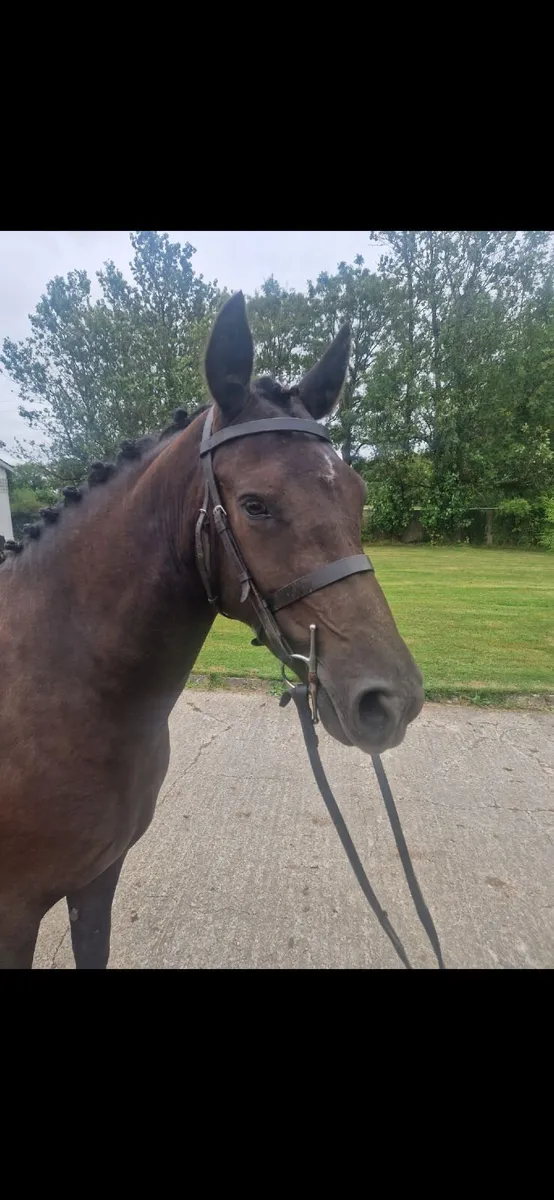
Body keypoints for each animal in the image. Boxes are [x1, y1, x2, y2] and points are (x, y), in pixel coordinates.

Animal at [0, 292, 424, 969]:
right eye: (255, 505)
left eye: (358, 494)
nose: (391, 700)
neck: (56, 687)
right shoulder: (14, 914)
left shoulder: (97, 879)